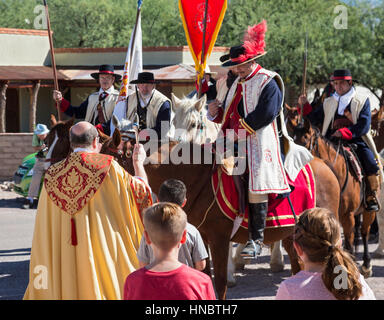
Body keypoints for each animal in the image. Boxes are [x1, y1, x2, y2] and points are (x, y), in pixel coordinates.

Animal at [292, 118, 376, 278]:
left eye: (304, 141)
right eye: (292, 141)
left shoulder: (347, 214)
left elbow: (347, 241)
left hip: (369, 211)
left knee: (364, 232)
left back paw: (367, 264)